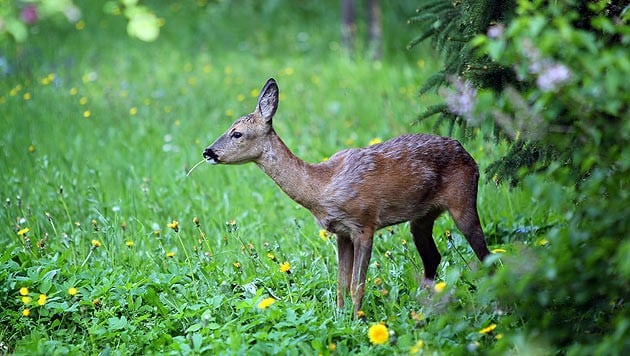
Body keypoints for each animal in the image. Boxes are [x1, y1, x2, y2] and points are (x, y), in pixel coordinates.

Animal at [202, 79, 494, 316]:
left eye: (237, 133)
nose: (208, 152)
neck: (321, 187)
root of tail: (470, 157)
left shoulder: (364, 224)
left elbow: (357, 284)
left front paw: (357, 320)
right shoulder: (341, 232)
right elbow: (341, 282)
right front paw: (340, 317)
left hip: (463, 200)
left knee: (486, 256)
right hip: (421, 217)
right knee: (433, 258)